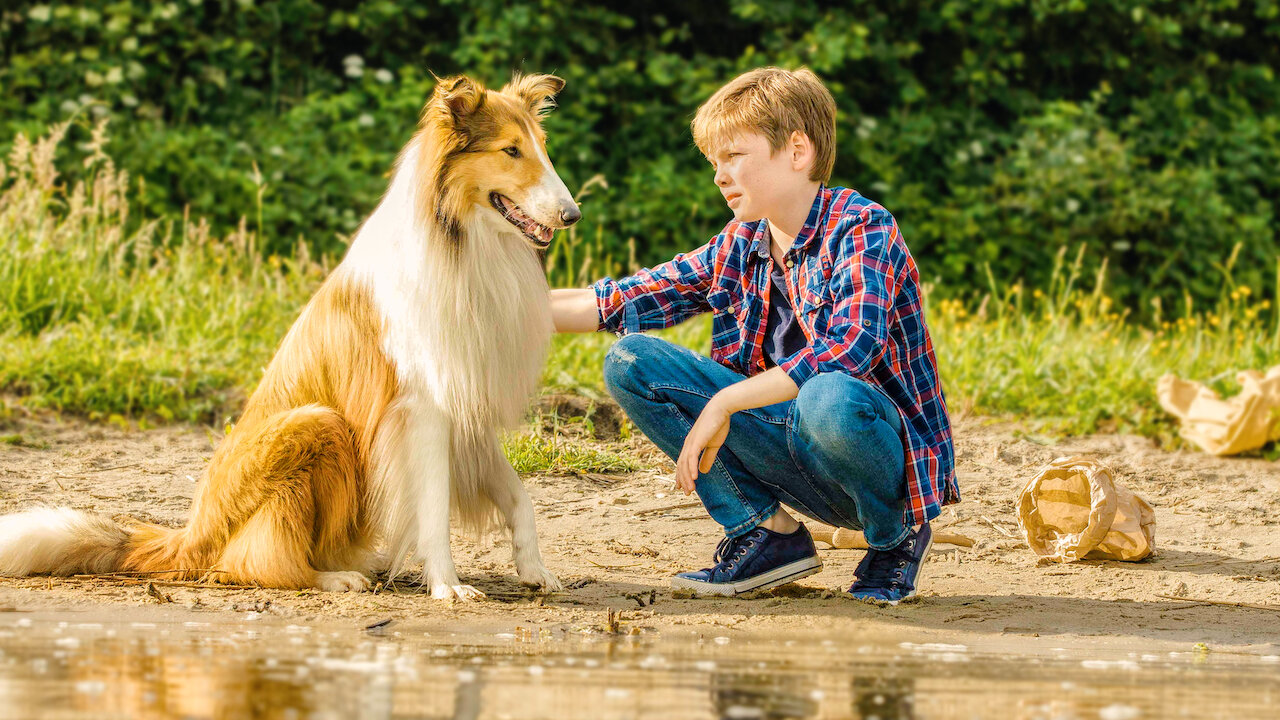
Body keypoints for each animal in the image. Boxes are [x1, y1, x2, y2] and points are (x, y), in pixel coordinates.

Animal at [0, 74, 576, 599]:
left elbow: (518, 493)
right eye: (510, 150)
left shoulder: (468, 403)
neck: (463, 243)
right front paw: (448, 586)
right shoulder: (423, 406)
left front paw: (535, 569)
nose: (573, 214)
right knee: (252, 562)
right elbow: (433, 510)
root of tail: (191, 537)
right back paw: (335, 577)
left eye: (543, 148)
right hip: (315, 422)